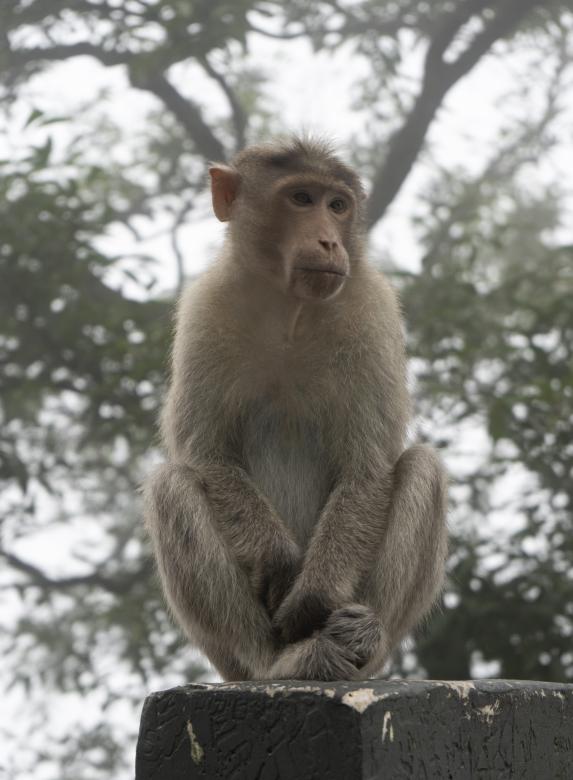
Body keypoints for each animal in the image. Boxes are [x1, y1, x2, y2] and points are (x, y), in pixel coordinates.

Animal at [143, 136, 448, 682]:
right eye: (302, 199)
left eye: (338, 205)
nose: (329, 242)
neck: (291, 310)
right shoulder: (205, 309)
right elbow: (206, 456)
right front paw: (280, 563)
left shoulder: (372, 312)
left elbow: (367, 469)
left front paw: (314, 596)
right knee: (171, 486)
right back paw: (278, 662)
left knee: (423, 467)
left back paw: (359, 636)